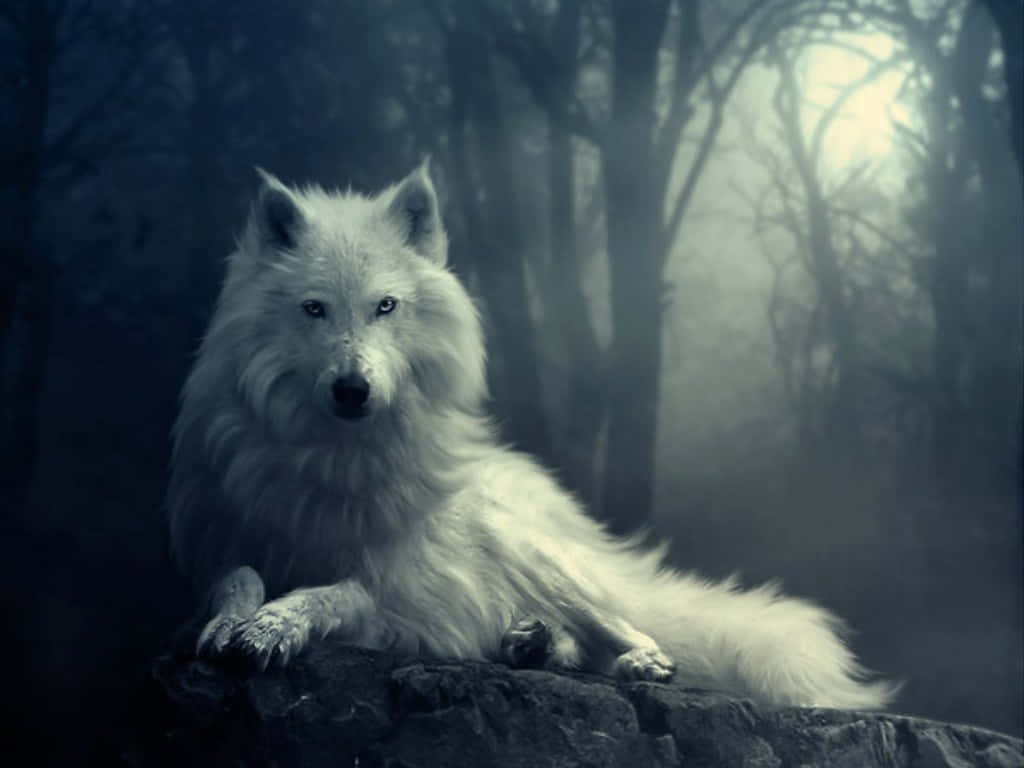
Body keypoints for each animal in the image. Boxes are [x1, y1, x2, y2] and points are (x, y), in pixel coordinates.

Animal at [167, 163, 897, 709]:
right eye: (314, 309)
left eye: (385, 306)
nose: (353, 390)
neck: (335, 459)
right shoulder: (222, 542)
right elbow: (236, 578)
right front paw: (232, 621)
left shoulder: (398, 592)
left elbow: (332, 593)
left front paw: (274, 626)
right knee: (567, 641)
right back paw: (530, 642)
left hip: (538, 557)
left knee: (631, 629)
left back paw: (634, 661)